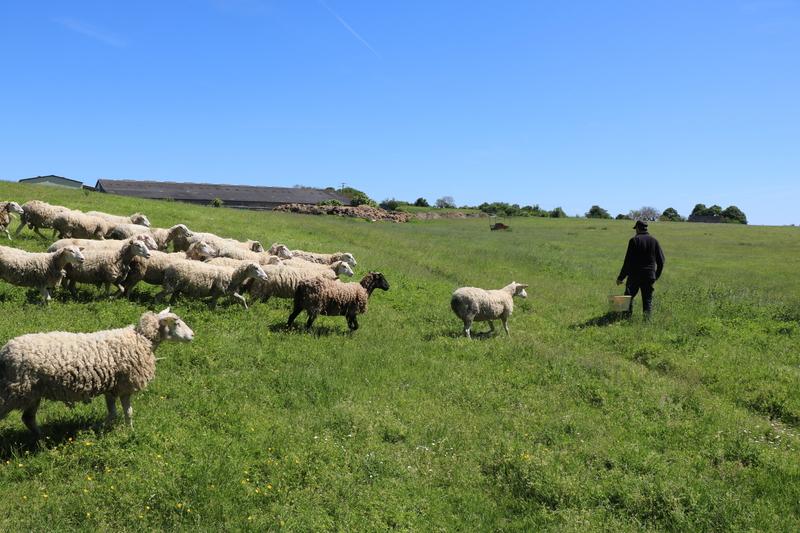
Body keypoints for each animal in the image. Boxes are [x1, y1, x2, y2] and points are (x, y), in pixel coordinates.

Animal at [0, 308, 193, 436]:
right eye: (176, 323)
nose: (193, 335)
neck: (142, 339)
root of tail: (5, 351)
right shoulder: (124, 385)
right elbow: (124, 412)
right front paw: (110, 429)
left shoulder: (112, 386)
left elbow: (119, 412)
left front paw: (125, 430)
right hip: (14, 391)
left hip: (33, 392)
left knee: (28, 418)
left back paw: (43, 439)